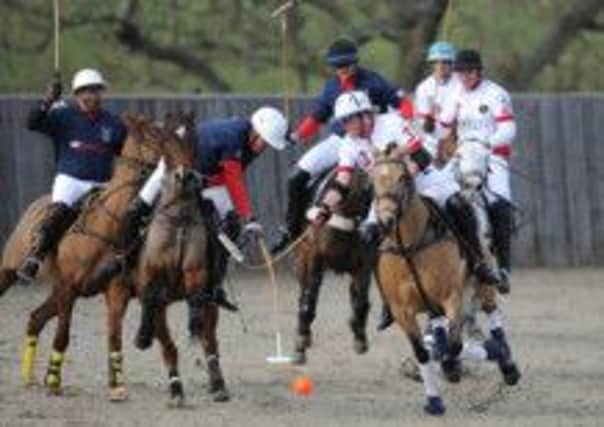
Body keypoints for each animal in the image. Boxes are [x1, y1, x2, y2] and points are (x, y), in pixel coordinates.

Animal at [0, 112, 189, 400]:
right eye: (155, 138)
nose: (187, 169)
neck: (110, 223)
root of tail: (34, 206)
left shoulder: (115, 290)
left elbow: (114, 336)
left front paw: (117, 386)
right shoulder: (69, 288)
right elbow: (63, 335)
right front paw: (53, 381)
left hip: (60, 289)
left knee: (35, 318)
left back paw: (29, 377)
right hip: (13, 272)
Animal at [292, 169, 372, 366]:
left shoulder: (364, 264)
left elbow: (361, 302)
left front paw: (360, 338)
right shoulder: (314, 258)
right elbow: (308, 301)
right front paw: (300, 343)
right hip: (302, 260)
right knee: (304, 293)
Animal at [368, 148, 520, 418]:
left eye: (402, 177)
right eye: (372, 180)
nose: (385, 220)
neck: (409, 247)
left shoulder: (452, 297)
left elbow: (456, 345)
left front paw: (456, 365)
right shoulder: (402, 311)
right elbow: (423, 351)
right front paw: (434, 401)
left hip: (482, 279)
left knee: (491, 314)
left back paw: (504, 359)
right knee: (438, 334)